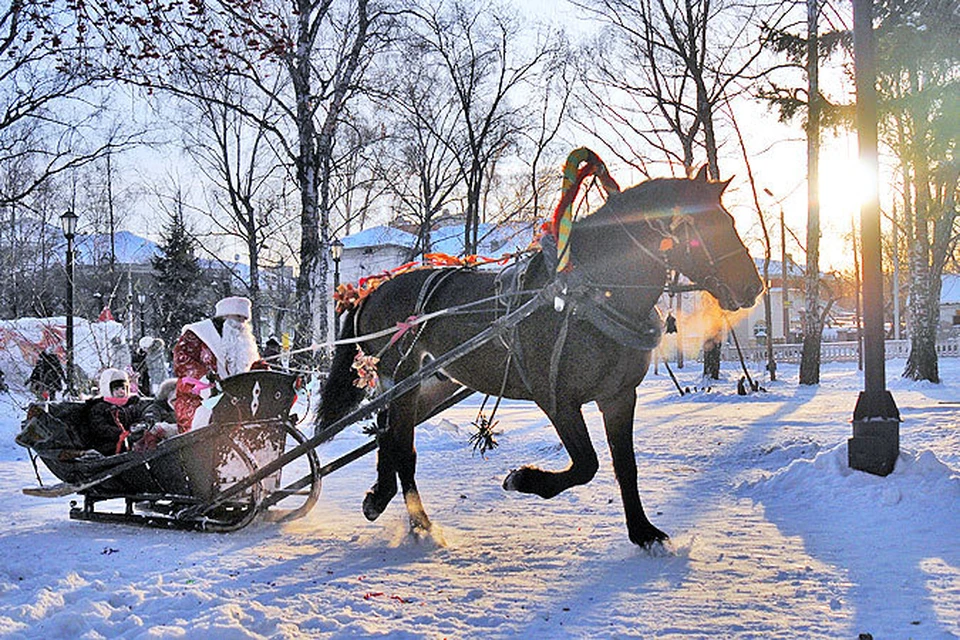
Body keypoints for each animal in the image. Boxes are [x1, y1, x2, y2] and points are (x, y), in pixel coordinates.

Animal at [318, 164, 760, 544]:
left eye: (729, 221)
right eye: (703, 227)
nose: (753, 286)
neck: (589, 295)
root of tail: (372, 290)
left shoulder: (619, 397)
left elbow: (625, 466)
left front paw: (643, 531)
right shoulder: (557, 399)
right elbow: (587, 464)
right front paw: (523, 479)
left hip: (426, 386)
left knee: (390, 437)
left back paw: (388, 502)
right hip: (400, 379)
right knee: (399, 445)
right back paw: (413, 518)